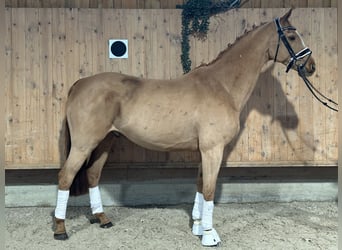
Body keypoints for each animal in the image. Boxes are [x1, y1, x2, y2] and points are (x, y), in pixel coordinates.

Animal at [53, 9, 316, 246]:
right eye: (291, 36)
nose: (311, 66)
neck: (222, 86)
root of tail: (80, 83)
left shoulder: (204, 151)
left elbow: (200, 185)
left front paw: (198, 226)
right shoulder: (213, 149)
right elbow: (209, 189)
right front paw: (209, 235)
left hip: (106, 141)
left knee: (92, 174)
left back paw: (102, 219)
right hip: (84, 144)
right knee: (66, 176)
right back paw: (60, 230)